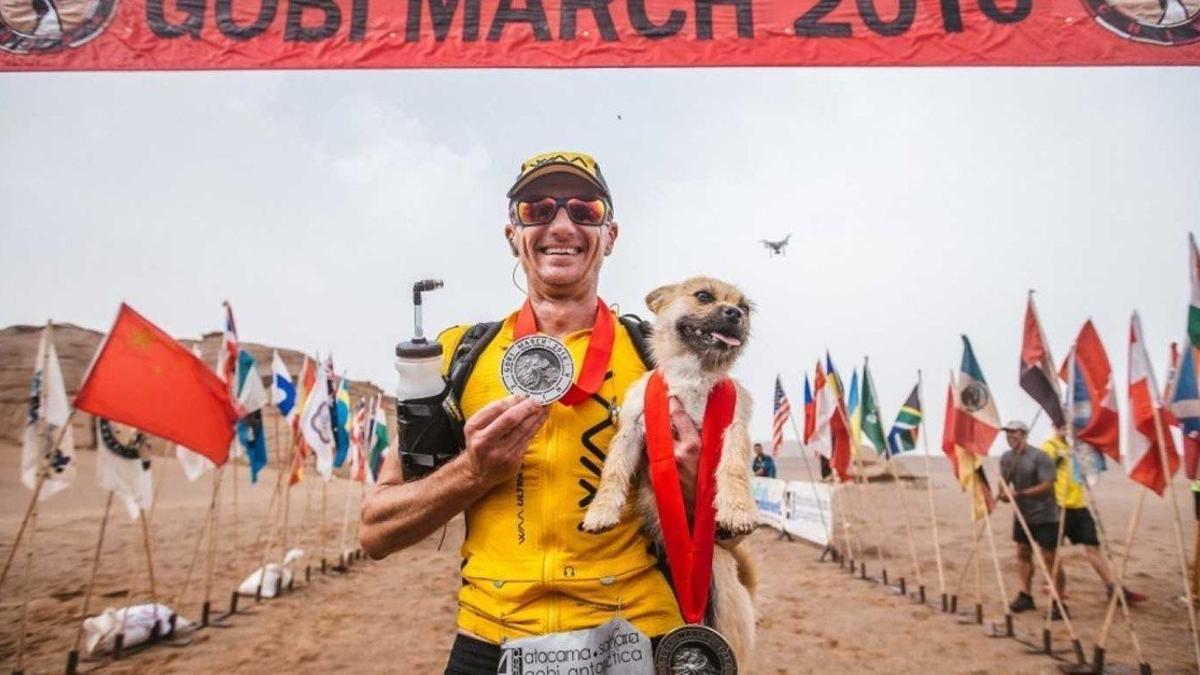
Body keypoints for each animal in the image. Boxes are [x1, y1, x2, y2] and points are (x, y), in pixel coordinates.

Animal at [580, 276, 758, 662]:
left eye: (745, 307)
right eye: (703, 296)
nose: (735, 313)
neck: (693, 375)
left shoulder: (733, 429)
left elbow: (733, 469)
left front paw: (738, 509)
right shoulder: (632, 429)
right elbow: (612, 472)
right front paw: (601, 511)